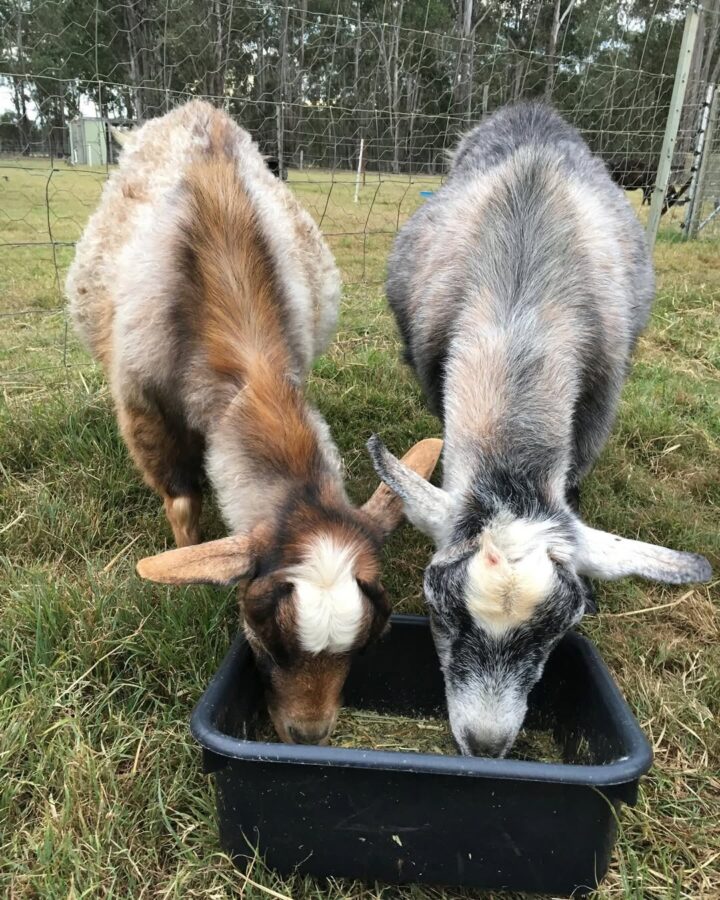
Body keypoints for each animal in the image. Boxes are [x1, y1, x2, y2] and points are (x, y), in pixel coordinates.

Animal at [67, 100, 441, 745]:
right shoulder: (143, 408)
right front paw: (188, 573)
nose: (308, 736)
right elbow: (182, 503)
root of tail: (194, 108)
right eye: (266, 638)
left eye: (363, 647)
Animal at [368, 103, 711, 758]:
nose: (484, 744)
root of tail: (532, 111)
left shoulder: (598, 402)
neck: (519, 314)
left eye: (561, 631)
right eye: (438, 613)